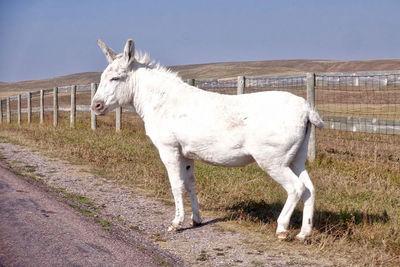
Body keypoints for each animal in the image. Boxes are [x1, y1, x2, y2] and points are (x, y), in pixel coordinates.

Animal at [91, 38, 324, 242]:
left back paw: (282, 229)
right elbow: (190, 184)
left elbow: (176, 185)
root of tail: (306, 108)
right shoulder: (186, 154)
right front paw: (196, 220)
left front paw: (176, 223)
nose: (96, 106)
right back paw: (304, 234)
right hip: (295, 159)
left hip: (272, 161)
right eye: (102, 77)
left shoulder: (169, 150)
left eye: (116, 78)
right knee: (310, 189)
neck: (162, 101)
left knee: (296, 188)